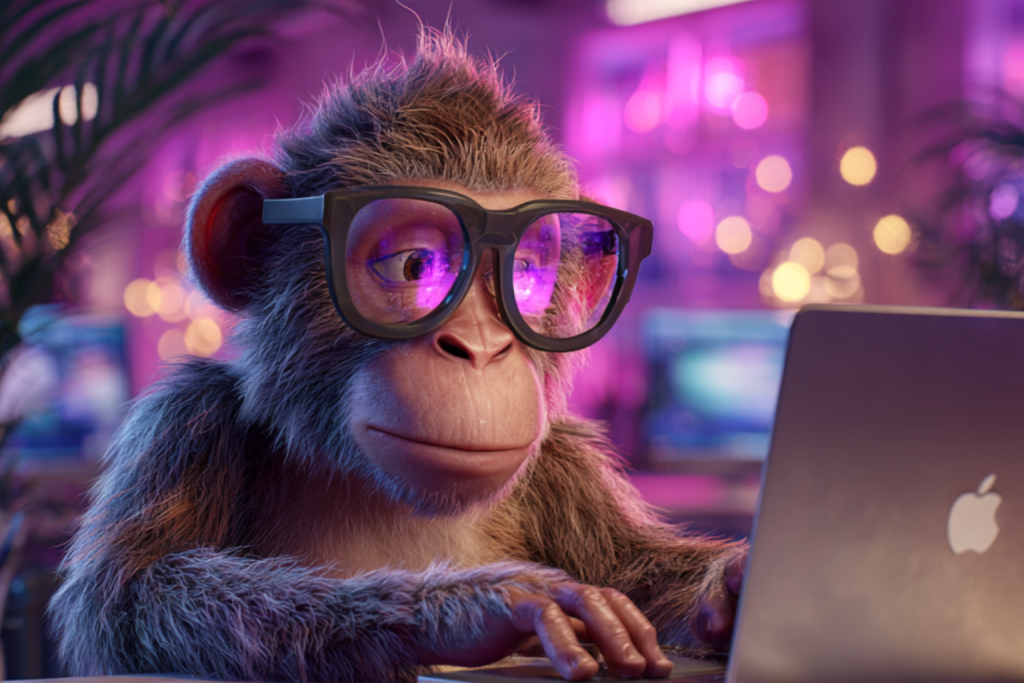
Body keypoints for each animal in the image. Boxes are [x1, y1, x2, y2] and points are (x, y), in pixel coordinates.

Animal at [48, 27, 747, 683]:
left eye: (525, 273)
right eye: (414, 265)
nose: (482, 347)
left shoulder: (563, 465)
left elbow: (631, 567)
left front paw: (728, 587)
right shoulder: (188, 420)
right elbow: (128, 600)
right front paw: (473, 603)